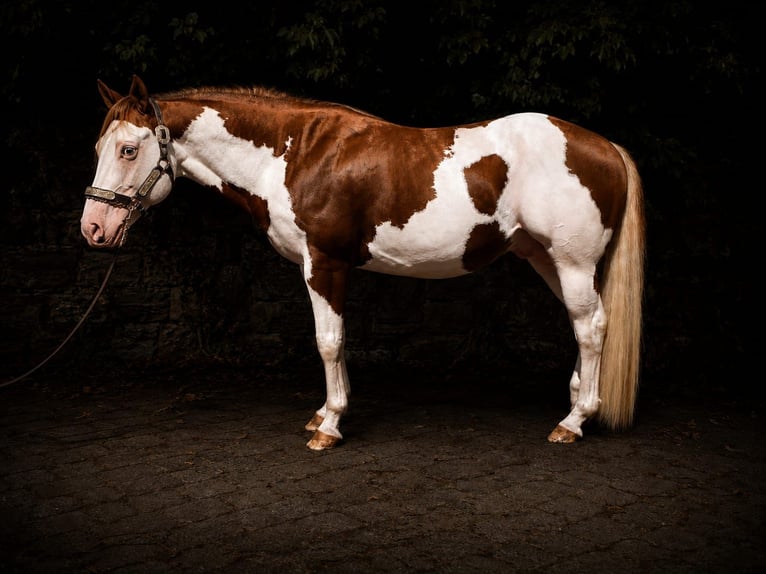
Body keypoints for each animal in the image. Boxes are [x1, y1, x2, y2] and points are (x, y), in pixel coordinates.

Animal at [80, 75, 645, 450]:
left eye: (128, 149)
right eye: (98, 146)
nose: (93, 228)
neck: (294, 154)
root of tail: (606, 147)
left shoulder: (324, 264)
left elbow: (328, 341)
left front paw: (330, 425)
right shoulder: (326, 269)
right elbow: (337, 340)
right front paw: (324, 413)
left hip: (572, 262)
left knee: (592, 327)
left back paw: (574, 421)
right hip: (549, 260)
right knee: (583, 324)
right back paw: (575, 402)